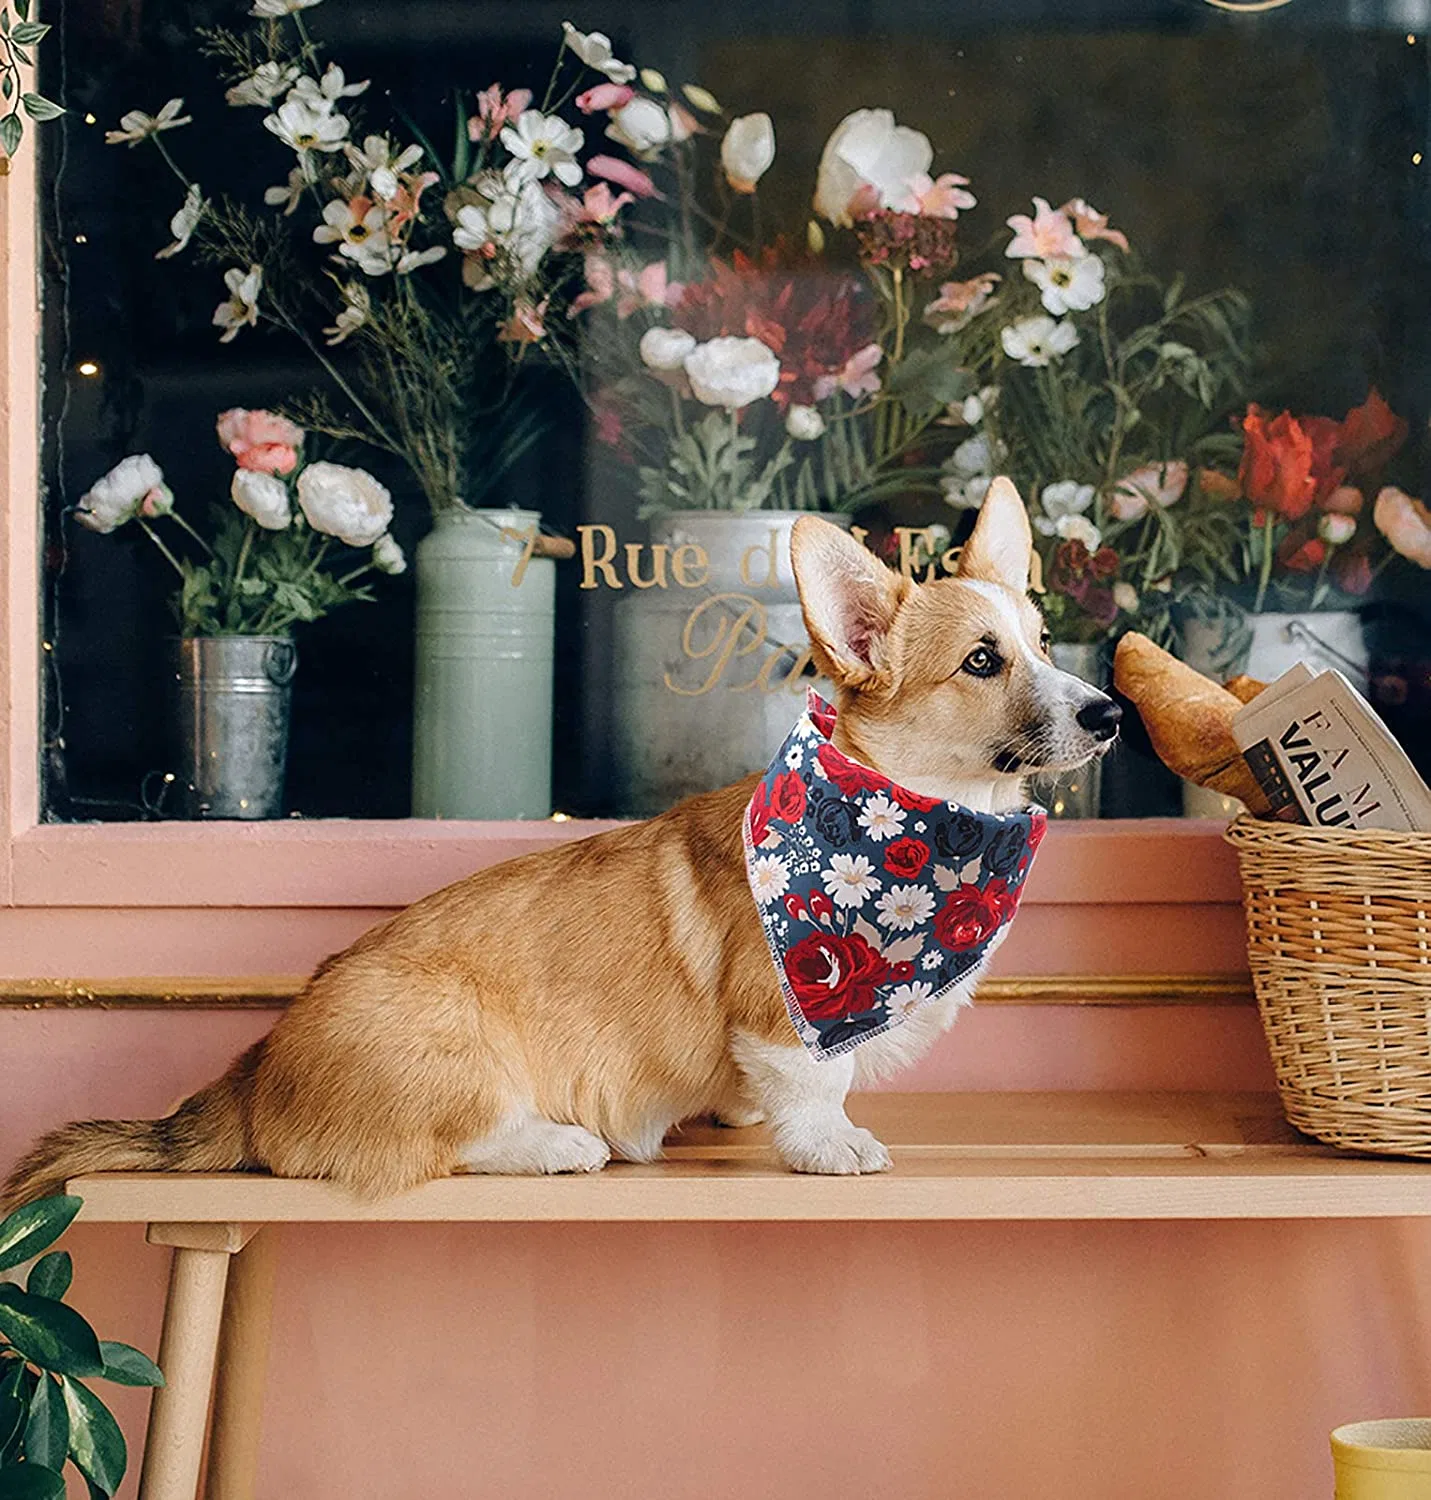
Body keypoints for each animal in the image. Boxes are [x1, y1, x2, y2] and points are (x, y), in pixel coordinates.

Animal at [2, 480, 1116, 1206]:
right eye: (982, 662)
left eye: (1045, 643)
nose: (1107, 714)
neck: (909, 822)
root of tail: (250, 1075)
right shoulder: (781, 1010)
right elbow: (811, 1084)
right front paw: (827, 1144)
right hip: (450, 1047)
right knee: (446, 1145)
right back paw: (558, 1145)